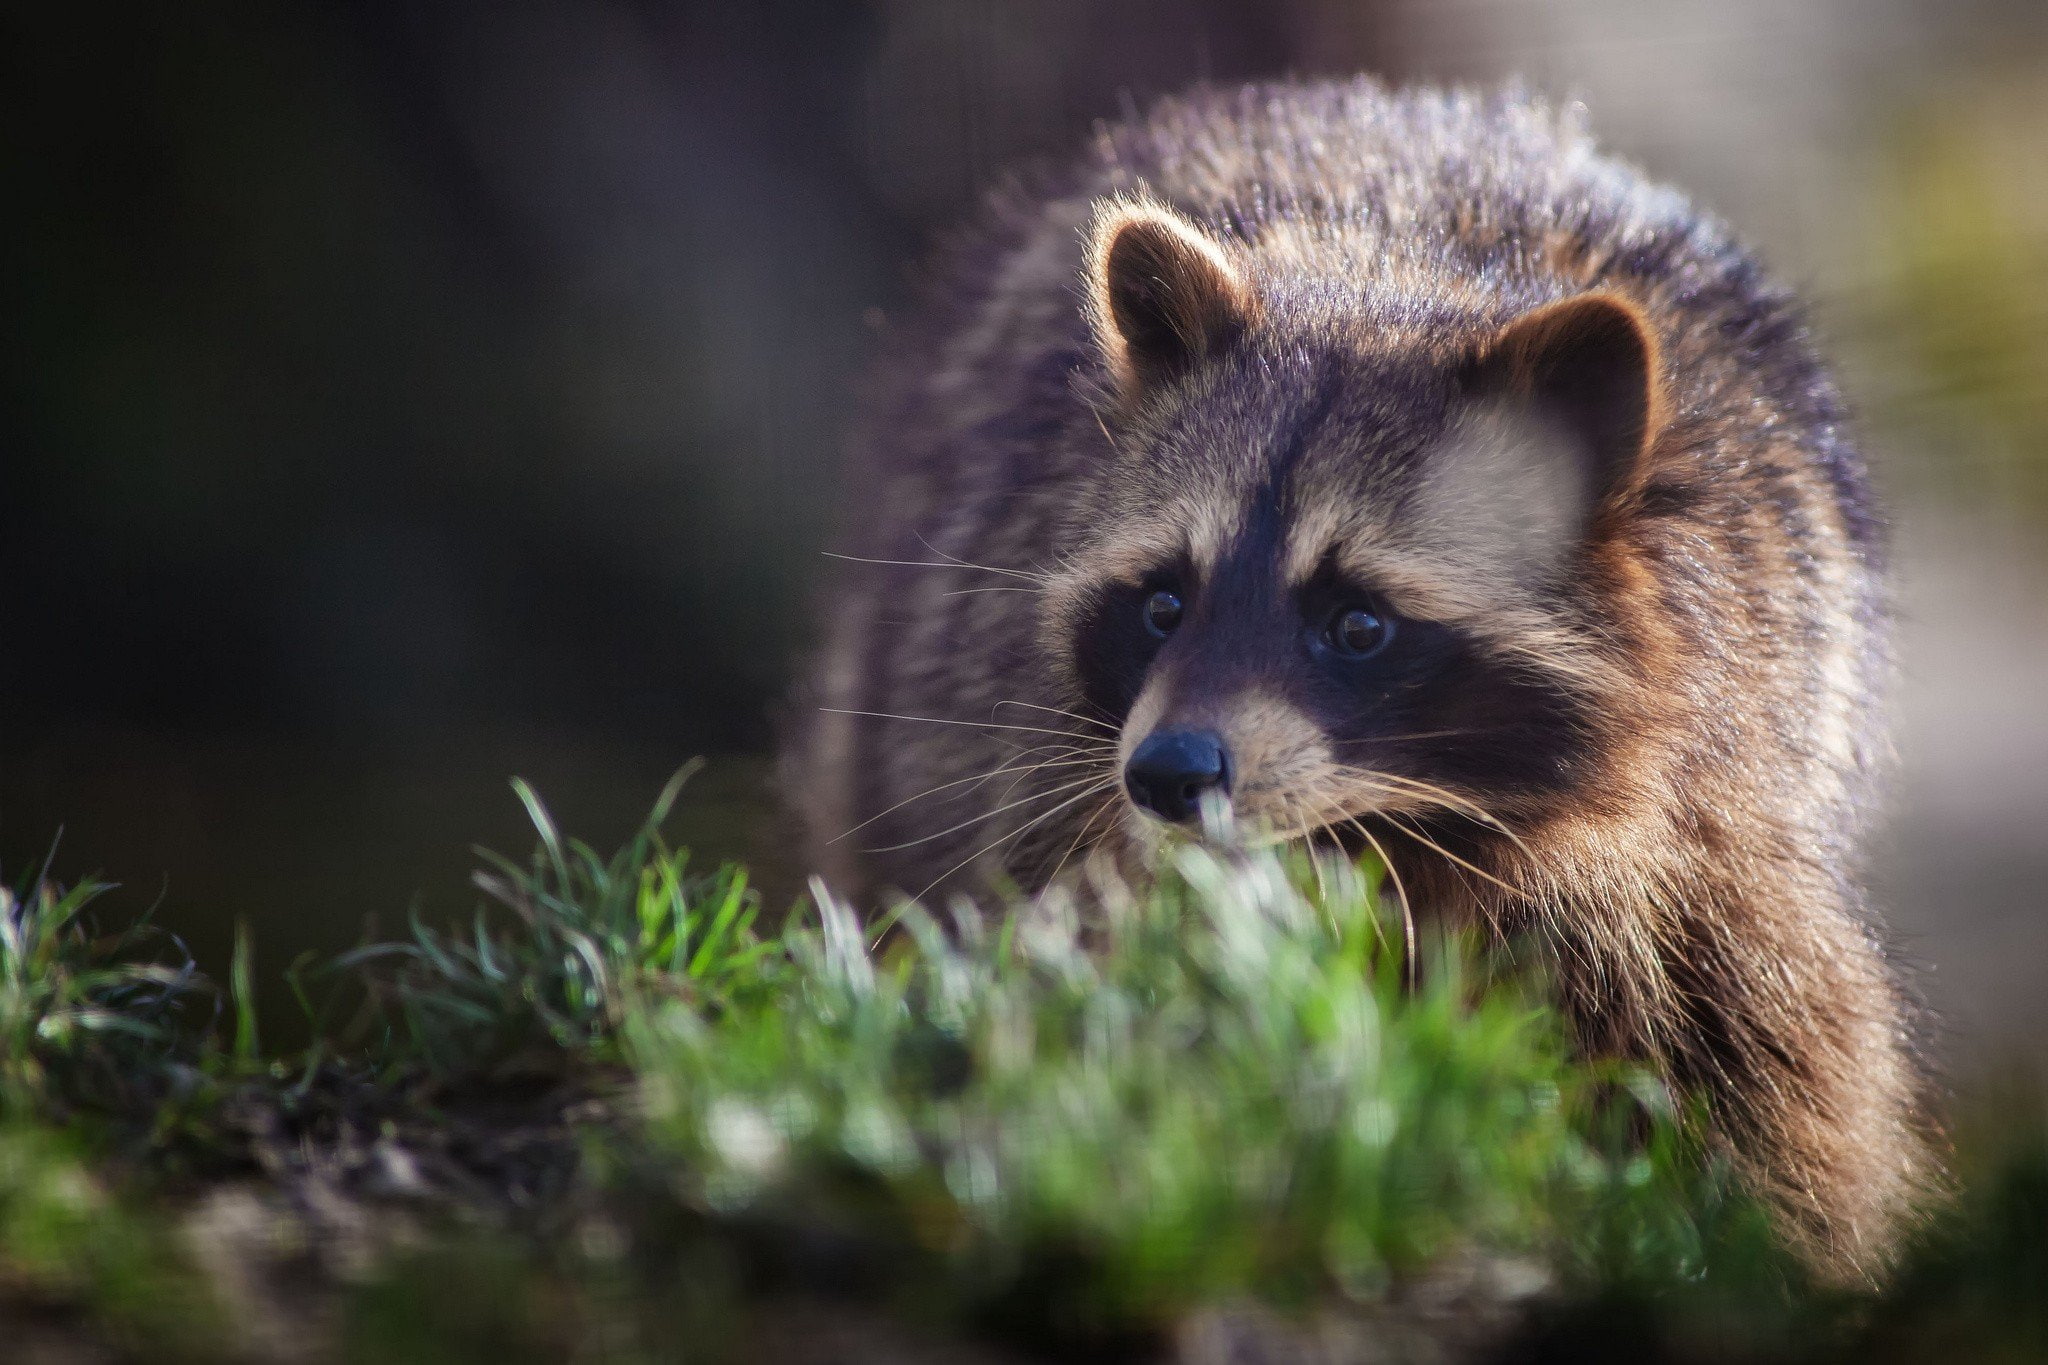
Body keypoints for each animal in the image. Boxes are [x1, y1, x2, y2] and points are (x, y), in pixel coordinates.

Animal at [782, 80, 1932, 1276]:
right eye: (1164, 604)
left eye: (1358, 624)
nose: (1167, 774)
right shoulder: (1064, 808)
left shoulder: (1708, 844)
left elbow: (1767, 1079)